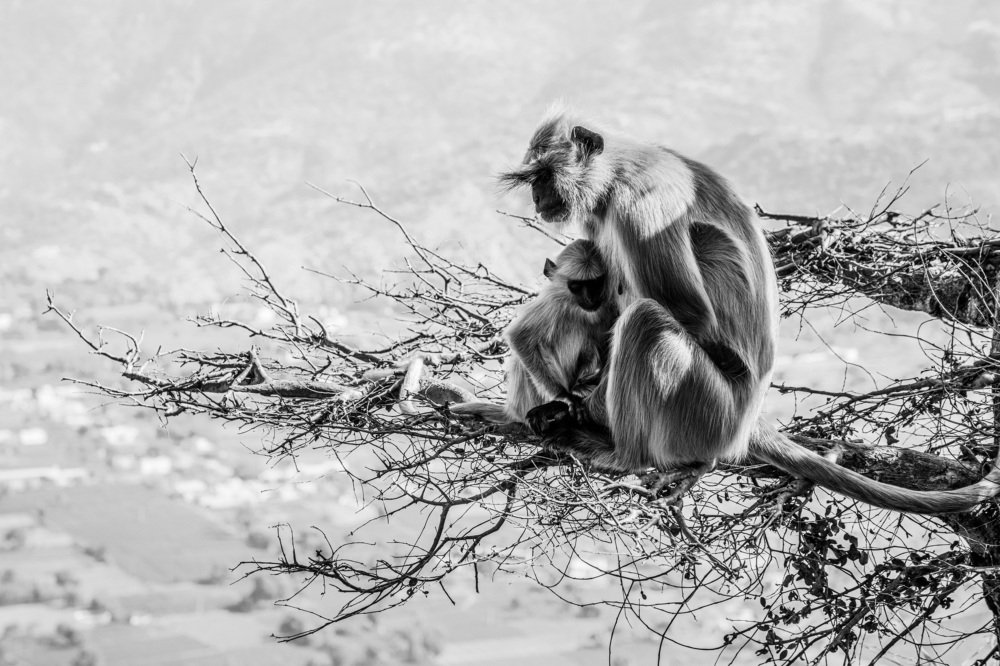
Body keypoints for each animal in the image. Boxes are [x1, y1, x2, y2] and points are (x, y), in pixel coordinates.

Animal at [450, 239, 617, 427]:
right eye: (576, 286)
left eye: (595, 284)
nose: (589, 298)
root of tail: (512, 409)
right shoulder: (552, 301)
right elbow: (519, 337)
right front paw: (565, 397)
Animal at [498, 108, 1000, 514]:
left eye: (544, 175)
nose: (538, 200)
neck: (619, 169)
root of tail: (744, 425)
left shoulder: (642, 204)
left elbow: (690, 316)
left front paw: (575, 408)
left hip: (706, 410)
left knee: (647, 319)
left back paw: (622, 451)